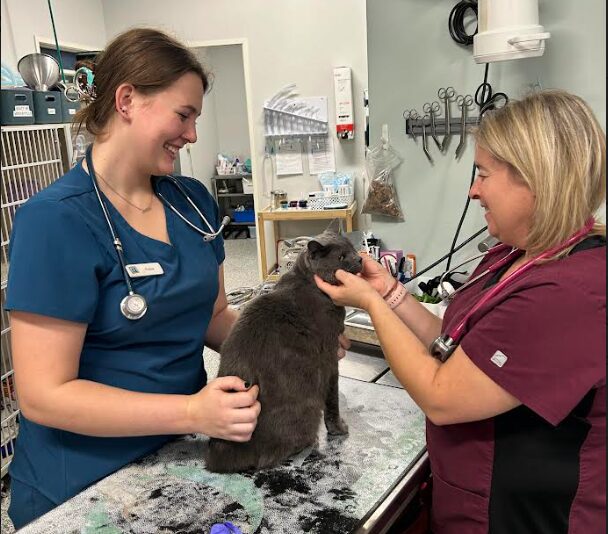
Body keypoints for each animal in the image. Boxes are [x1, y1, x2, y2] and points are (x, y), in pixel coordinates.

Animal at [207, 230, 364, 474]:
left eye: (353, 249)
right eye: (341, 257)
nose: (360, 259)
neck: (309, 282)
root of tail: (218, 457)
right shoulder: (330, 359)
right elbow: (332, 400)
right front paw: (338, 428)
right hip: (308, 407)